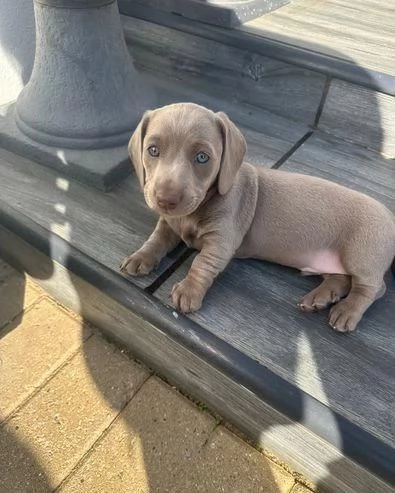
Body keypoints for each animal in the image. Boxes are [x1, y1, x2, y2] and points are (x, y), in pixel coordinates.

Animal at [120, 102, 395, 332]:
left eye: (202, 157)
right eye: (153, 150)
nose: (166, 199)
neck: (196, 210)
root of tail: (391, 218)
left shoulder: (221, 241)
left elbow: (202, 263)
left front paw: (189, 290)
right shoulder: (169, 224)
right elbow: (156, 240)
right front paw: (140, 257)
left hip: (362, 253)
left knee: (373, 288)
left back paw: (347, 310)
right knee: (341, 278)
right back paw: (321, 297)